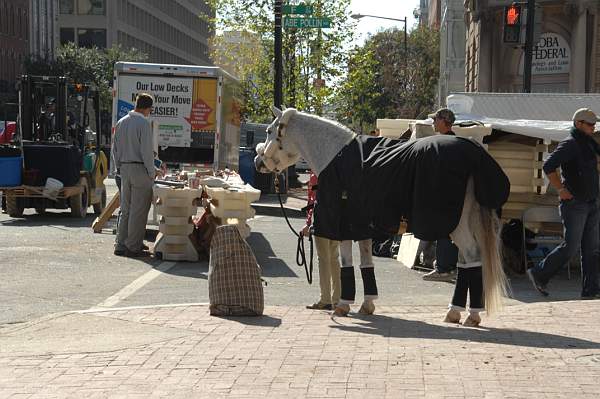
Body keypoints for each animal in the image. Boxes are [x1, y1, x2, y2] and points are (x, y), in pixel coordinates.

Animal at [258, 107, 510, 324]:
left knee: (471, 257)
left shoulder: (343, 227)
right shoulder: (361, 228)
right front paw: (367, 305)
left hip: (457, 225)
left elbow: (346, 264)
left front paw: (343, 305)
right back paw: (458, 312)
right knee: (467, 261)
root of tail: (473, 153)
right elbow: (366, 263)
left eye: (269, 131)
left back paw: (467, 314)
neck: (335, 157)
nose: (258, 161)